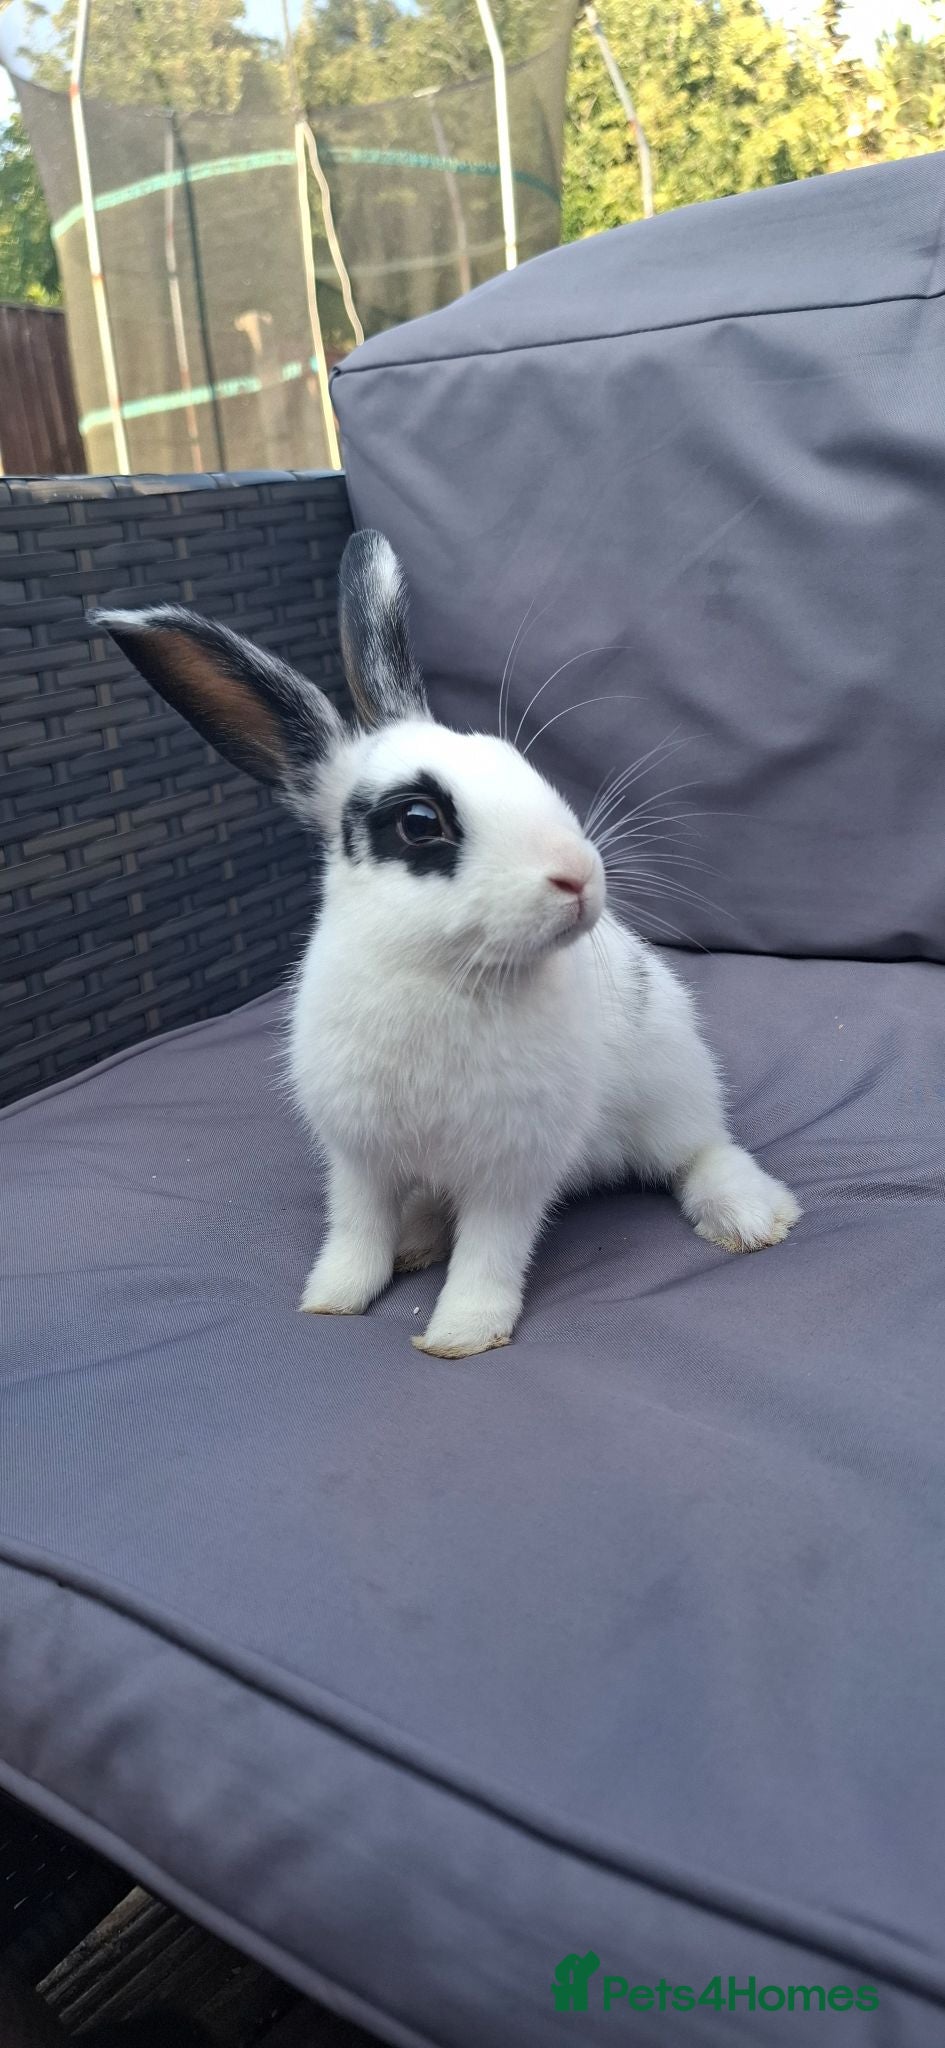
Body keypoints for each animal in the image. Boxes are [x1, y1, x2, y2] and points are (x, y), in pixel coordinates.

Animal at [91, 529, 800, 1359]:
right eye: (419, 822)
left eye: (520, 765)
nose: (578, 876)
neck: (440, 972)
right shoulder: (358, 1157)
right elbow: (355, 1232)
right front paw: (330, 1301)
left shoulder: (510, 1168)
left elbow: (490, 1251)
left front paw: (460, 1334)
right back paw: (417, 1239)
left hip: (670, 1093)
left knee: (701, 1152)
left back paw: (752, 1217)